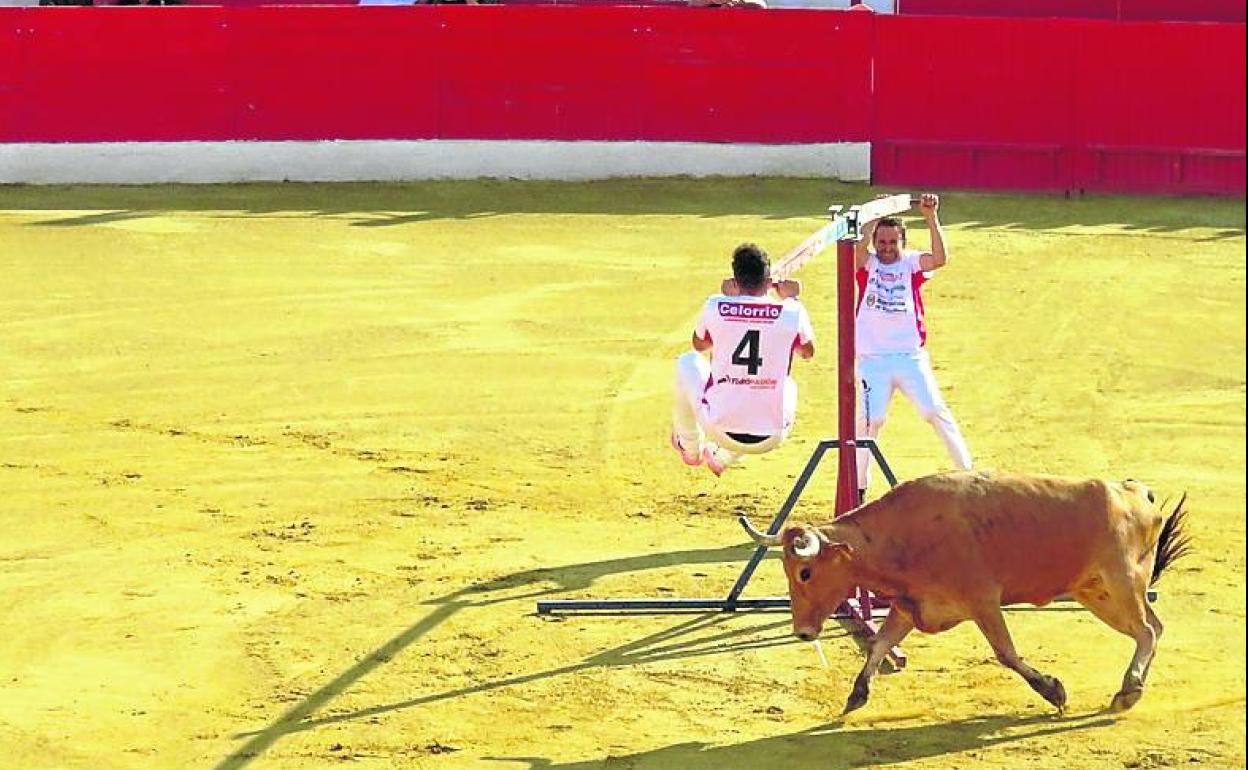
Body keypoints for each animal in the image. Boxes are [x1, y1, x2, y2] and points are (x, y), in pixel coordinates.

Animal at [738, 469, 1188, 713]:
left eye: (805, 572)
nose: (802, 632)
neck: (902, 535)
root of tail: (1135, 491)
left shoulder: (983, 602)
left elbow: (1006, 653)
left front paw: (1052, 690)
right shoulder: (909, 606)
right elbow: (880, 645)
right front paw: (857, 694)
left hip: (1121, 583)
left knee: (1147, 631)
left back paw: (1129, 690)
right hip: (1097, 594)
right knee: (1154, 629)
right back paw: (1130, 688)